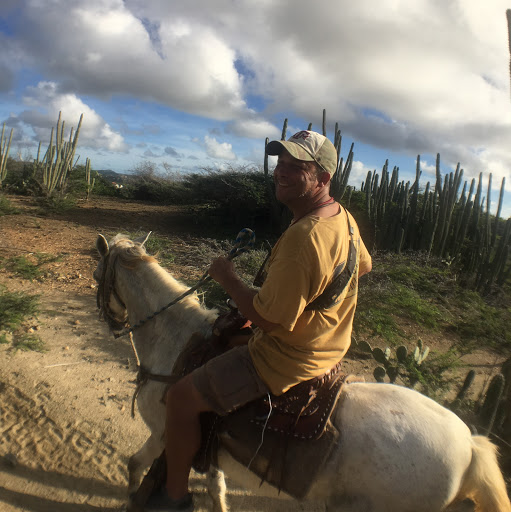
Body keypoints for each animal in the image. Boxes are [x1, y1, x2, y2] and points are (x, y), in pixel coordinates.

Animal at [93, 233, 511, 512]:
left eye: (97, 275)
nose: (112, 323)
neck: (177, 339)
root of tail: (469, 445)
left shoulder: (166, 431)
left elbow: (136, 466)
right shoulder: (206, 447)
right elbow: (216, 488)